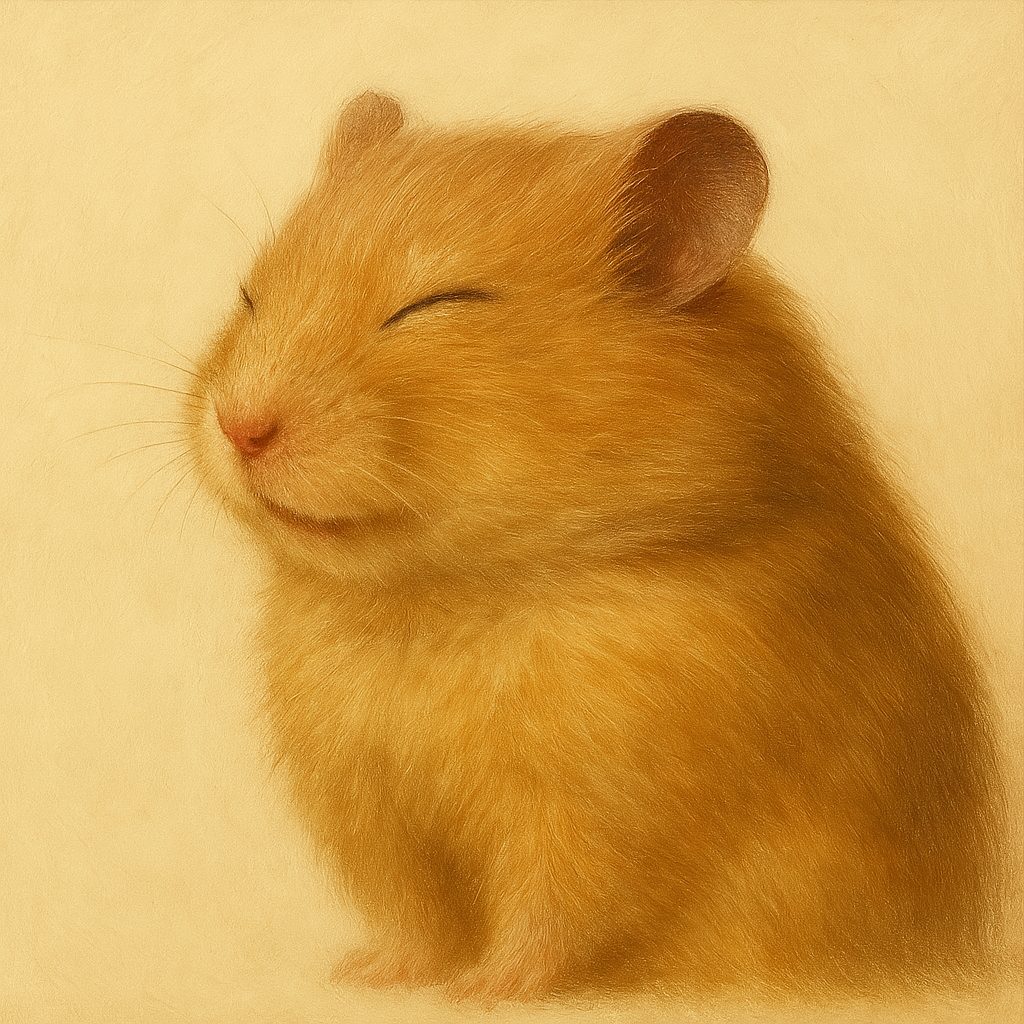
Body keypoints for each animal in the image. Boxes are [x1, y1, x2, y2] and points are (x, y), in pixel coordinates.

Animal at [186, 91, 1005, 1002]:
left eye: (438, 304)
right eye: (250, 296)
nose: (240, 427)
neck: (437, 596)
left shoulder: (598, 809)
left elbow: (553, 910)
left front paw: (484, 990)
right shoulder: (369, 808)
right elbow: (414, 914)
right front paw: (371, 975)